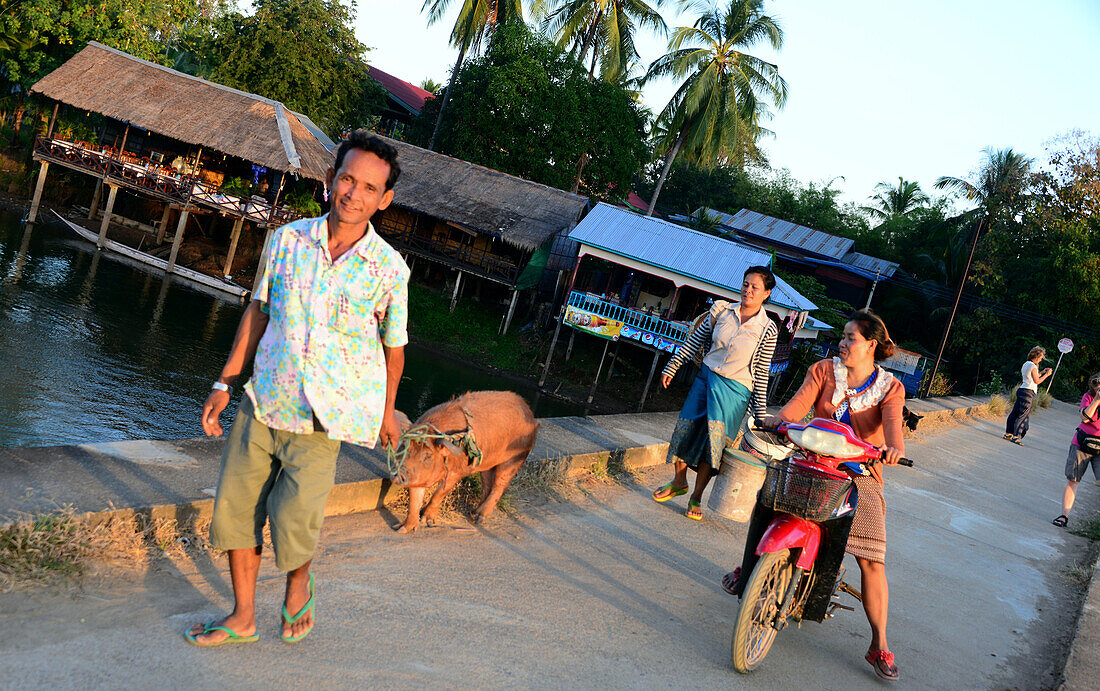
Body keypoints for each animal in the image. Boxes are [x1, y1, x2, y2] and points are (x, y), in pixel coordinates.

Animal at [389, 391, 539, 532]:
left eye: (428, 455)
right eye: (403, 447)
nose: (399, 474)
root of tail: (529, 412)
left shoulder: (457, 472)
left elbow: (439, 493)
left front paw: (428, 521)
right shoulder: (419, 475)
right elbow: (414, 500)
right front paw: (400, 528)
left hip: (514, 459)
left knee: (499, 486)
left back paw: (479, 518)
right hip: (485, 464)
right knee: (487, 485)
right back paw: (472, 513)